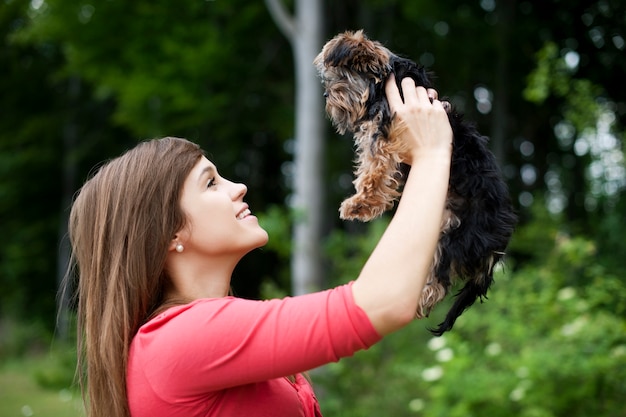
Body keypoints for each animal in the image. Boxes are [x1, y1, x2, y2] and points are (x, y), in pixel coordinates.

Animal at [314, 29, 516, 334]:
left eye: (339, 77)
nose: (326, 94)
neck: (381, 81)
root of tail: (498, 242)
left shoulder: (383, 131)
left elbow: (374, 169)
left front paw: (359, 203)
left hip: (456, 234)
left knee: (441, 277)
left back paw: (420, 299)